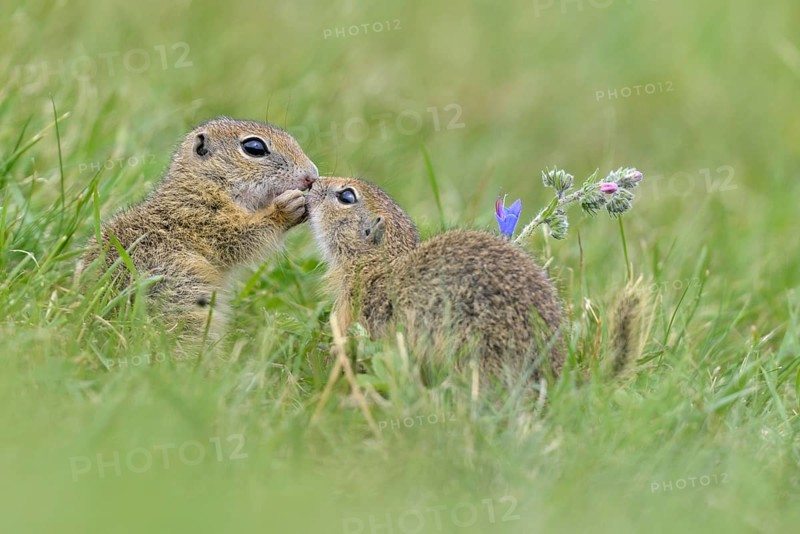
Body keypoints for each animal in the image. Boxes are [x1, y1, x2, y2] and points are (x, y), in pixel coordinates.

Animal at [81, 118, 318, 337]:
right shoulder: (205, 217)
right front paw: (286, 208)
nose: (312, 176)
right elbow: (241, 237)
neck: (204, 183)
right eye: (254, 148)